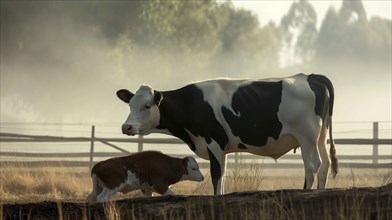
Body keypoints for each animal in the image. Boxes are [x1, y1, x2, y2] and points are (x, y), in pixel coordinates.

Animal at [115, 73, 336, 194]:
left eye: (147, 105)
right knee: (324, 164)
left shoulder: (213, 142)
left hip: (307, 137)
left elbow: (216, 176)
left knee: (311, 166)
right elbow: (222, 174)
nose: (127, 127)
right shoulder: (223, 147)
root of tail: (310, 76)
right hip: (321, 137)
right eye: (130, 104)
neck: (192, 104)